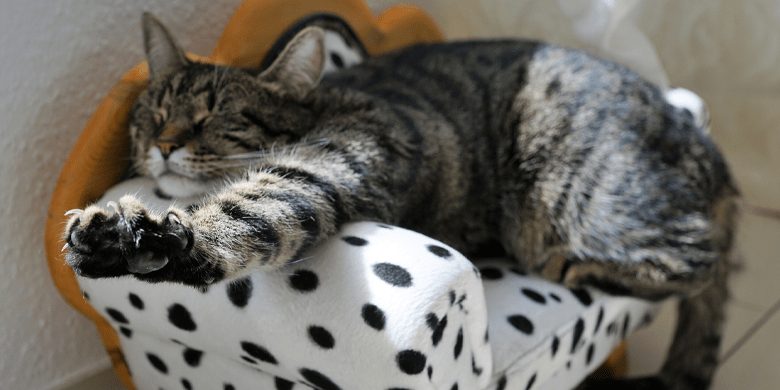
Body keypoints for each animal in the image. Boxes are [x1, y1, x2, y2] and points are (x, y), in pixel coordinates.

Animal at [65, 13, 736, 388]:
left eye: (214, 117)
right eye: (154, 115)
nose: (165, 145)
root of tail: (708, 148)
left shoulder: (328, 165)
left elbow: (251, 209)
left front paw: (143, 235)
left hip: (584, 202)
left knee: (700, 256)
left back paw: (572, 264)